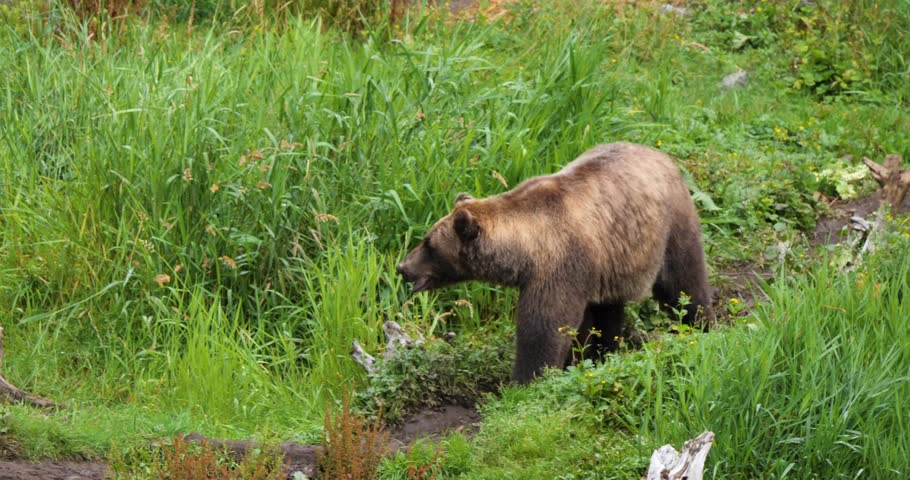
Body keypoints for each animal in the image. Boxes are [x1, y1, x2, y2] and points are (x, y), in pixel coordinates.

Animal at [396, 142, 713, 384]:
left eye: (429, 244)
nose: (403, 267)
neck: (523, 251)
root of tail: (662, 155)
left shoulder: (559, 266)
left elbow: (543, 328)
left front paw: (525, 381)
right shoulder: (579, 272)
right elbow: (579, 325)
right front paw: (577, 361)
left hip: (670, 227)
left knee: (683, 284)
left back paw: (701, 327)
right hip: (614, 258)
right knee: (610, 309)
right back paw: (607, 351)